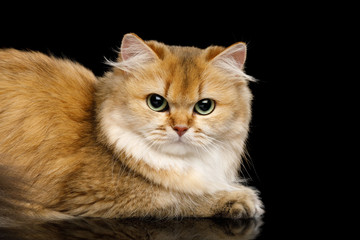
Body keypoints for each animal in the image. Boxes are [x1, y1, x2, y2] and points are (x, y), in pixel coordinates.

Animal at [0, 32, 264, 223]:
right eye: (156, 103)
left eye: (204, 106)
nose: (180, 128)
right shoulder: (99, 197)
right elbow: (176, 197)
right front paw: (239, 199)